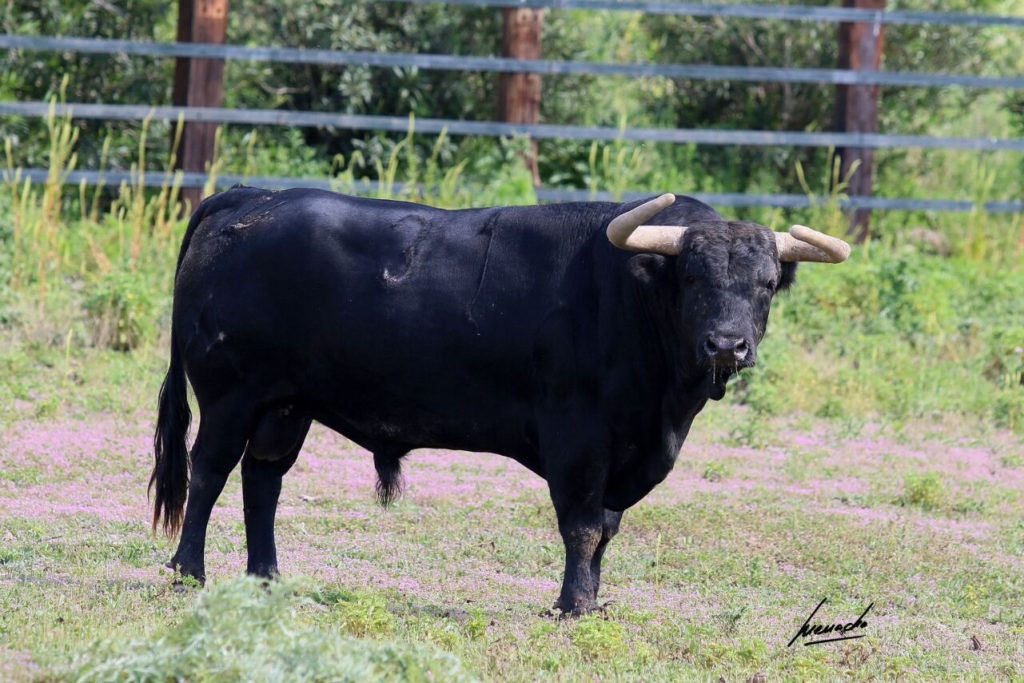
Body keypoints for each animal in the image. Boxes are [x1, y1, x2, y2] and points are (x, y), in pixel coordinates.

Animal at [153, 185, 815, 614]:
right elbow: (581, 526)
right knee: (208, 471)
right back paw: (188, 571)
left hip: (285, 405)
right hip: (231, 395)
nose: (727, 344)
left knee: (262, 479)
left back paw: (266, 577)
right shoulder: (578, 439)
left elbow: (607, 529)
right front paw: (573, 604)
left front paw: (594, 600)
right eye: (694, 278)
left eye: (765, 285)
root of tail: (252, 198)